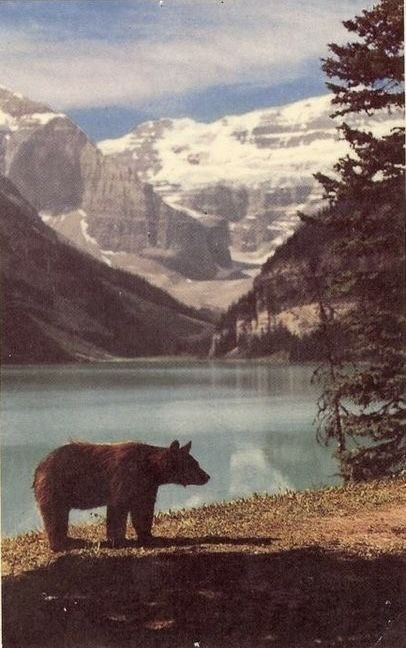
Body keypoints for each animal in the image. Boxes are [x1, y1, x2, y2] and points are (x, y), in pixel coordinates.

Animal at [33, 439, 210, 551]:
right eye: (193, 464)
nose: (207, 476)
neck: (151, 469)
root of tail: (38, 467)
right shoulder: (126, 476)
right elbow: (118, 508)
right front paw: (118, 540)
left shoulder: (146, 487)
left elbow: (143, 511)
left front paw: (149, 536)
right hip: (55, 487)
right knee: (54, 516)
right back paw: (61, 544)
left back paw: (70, 540)